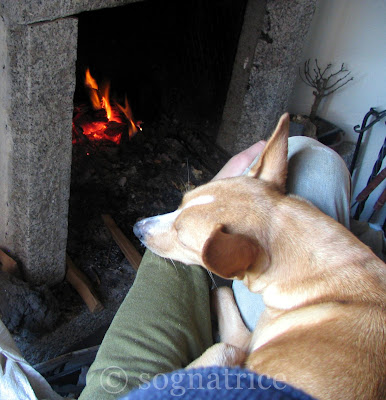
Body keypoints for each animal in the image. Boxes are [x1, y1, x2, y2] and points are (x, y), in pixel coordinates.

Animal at [133, 113, 386, 400]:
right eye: (181, 202)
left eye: (183, 239)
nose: (136, 228)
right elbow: (224, 292)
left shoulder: (244, 346)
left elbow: (223, 299)